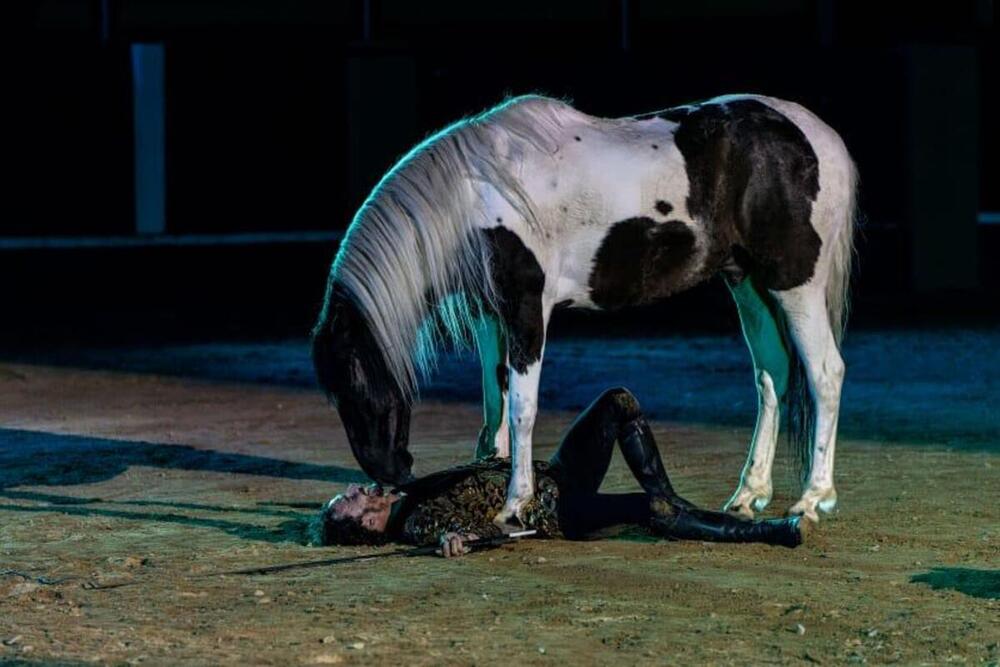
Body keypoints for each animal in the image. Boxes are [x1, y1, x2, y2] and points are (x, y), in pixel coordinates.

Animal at [314, 94, 860, 528]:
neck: (482, 194)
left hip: (795, 285)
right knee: (772, 374)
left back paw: (814, 499)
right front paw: (493, 467)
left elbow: (522, 406)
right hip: (747, 283)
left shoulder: (527, 310)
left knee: (825, 372)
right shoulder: (493, 315)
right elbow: (494, 398)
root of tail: (819, 136)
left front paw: (514, 503)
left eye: (350, 381)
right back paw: (750, 494)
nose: (390, 472)